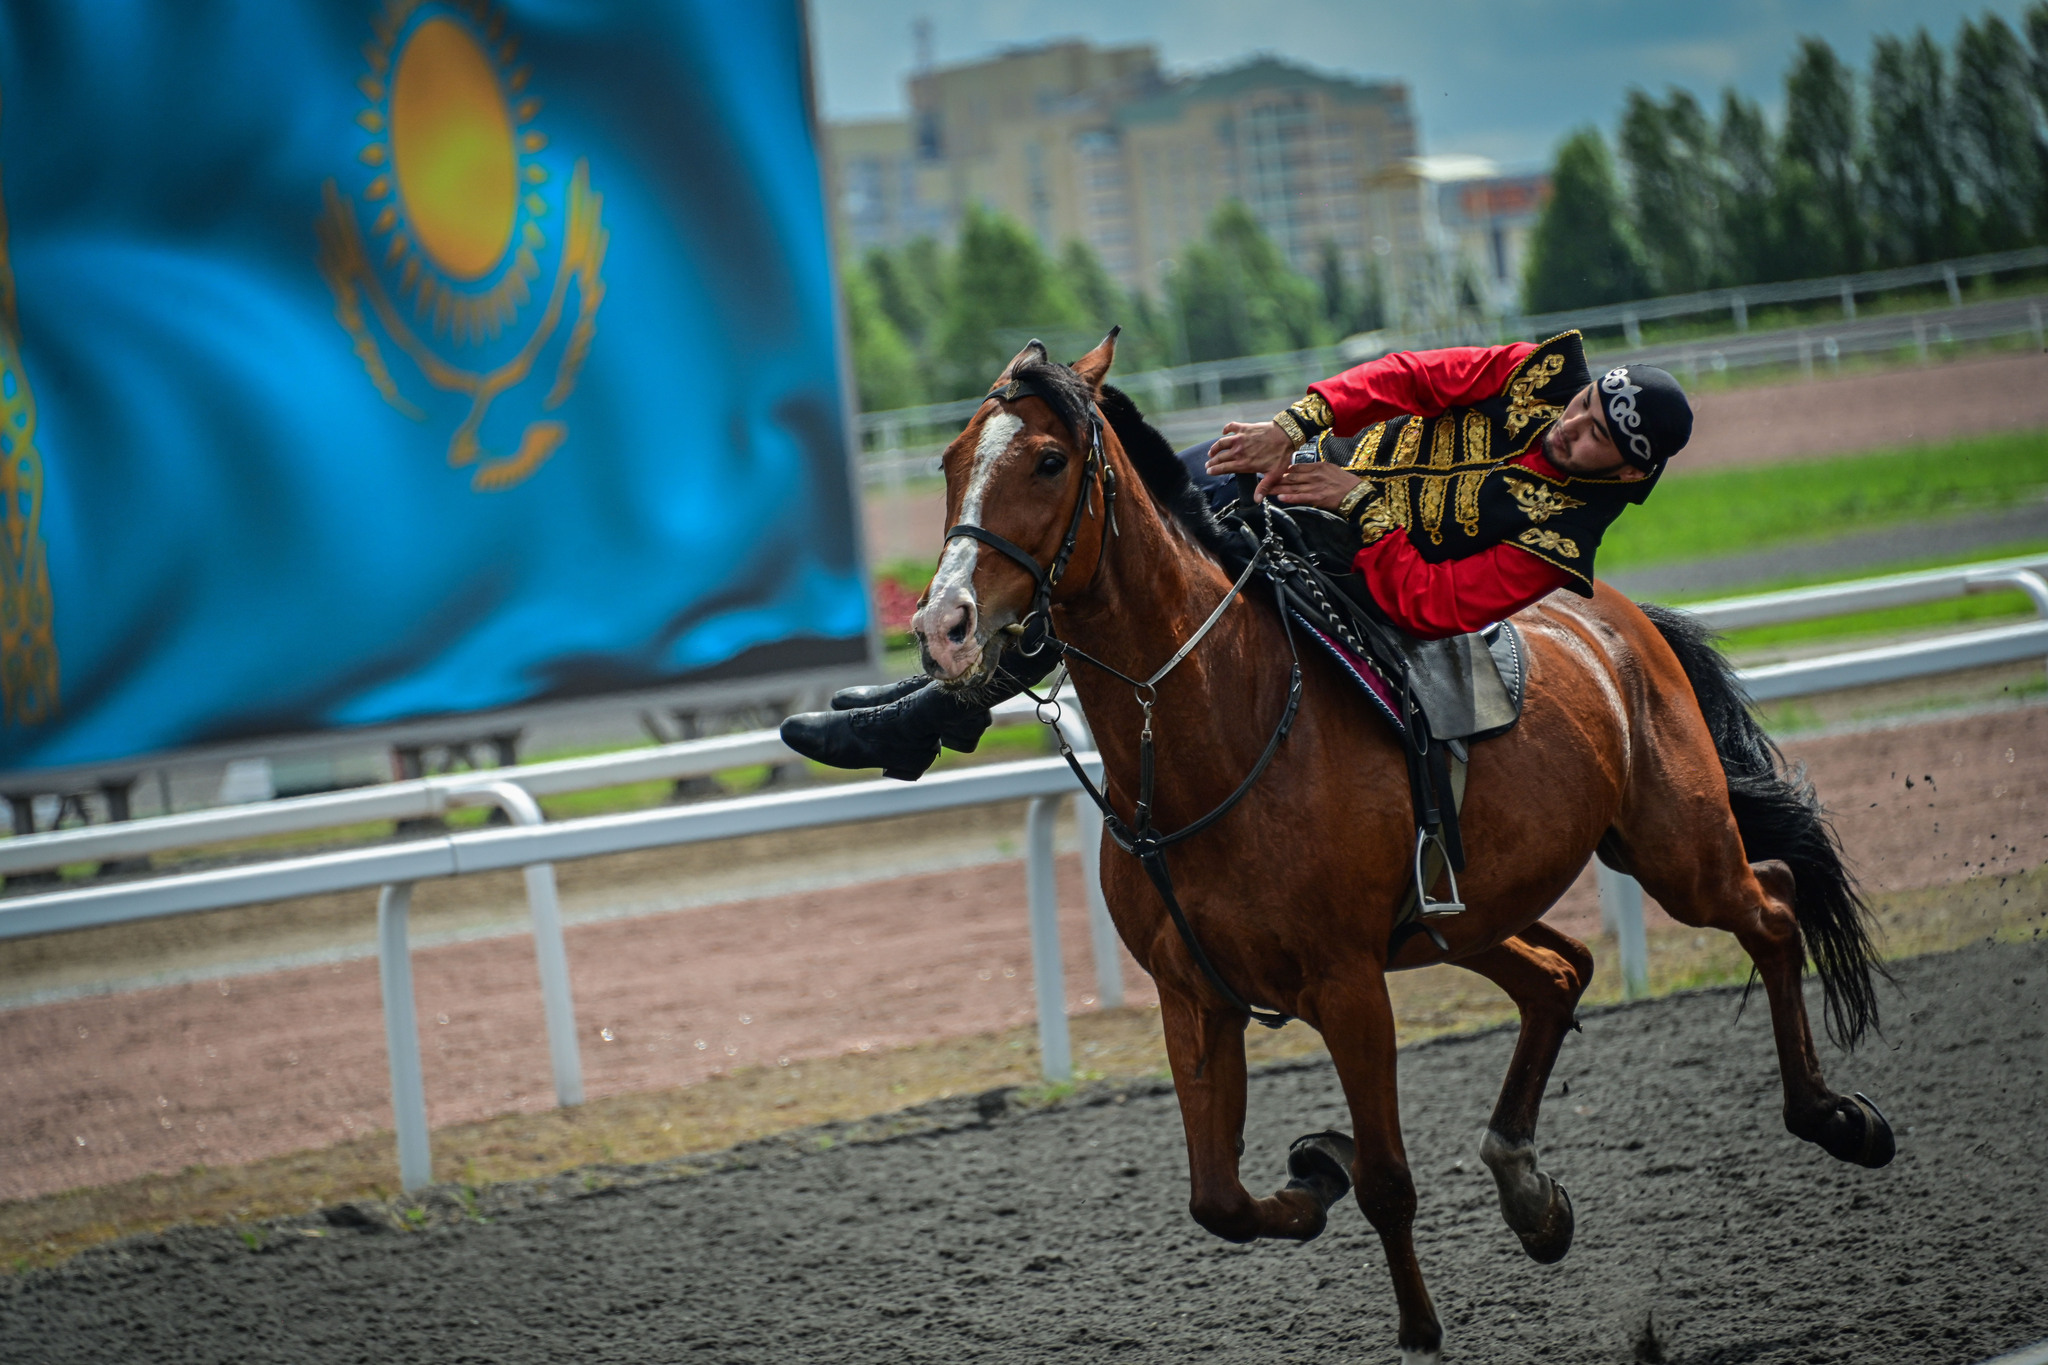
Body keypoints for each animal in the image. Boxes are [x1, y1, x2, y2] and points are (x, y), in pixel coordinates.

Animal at [913, 333, 1884, 1365]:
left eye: (1049, 460)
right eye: (952, 458)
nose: (943, 626)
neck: (1217, 728)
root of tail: (1623, 621)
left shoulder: (1347, 986)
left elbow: (1386, 1178)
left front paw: (1417, 1322)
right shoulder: (1194, 995)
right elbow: (1218, 1199)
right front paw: (1315, 1171)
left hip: (1678, 850)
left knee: (1770, 905)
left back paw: (1832, 1115)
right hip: (1470, 914)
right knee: (1563, 969)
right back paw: (1530, 1193)